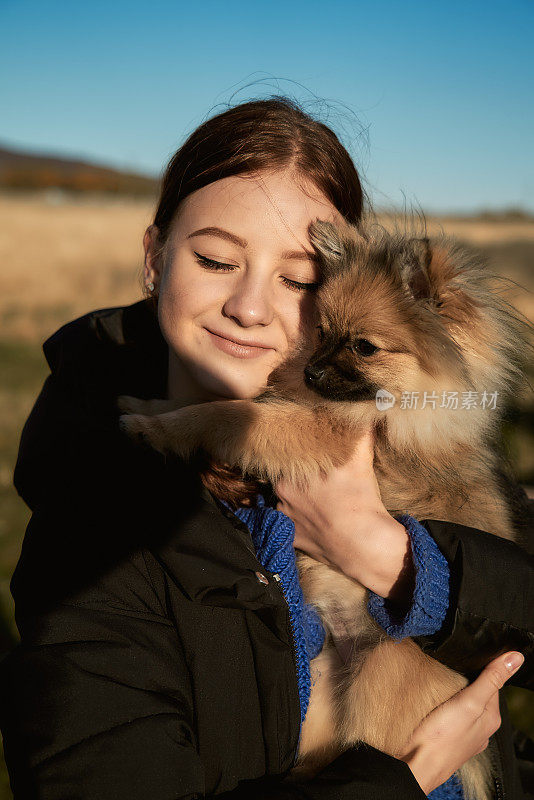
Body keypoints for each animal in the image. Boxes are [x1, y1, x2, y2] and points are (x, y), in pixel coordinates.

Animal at [117, 219, 532, 800]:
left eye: (364, 347)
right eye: (322, 331)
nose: (312, 373)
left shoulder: (317, 430)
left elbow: (225, 413)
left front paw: (155, 429)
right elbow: (211, 401)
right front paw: (148, 406)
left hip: (384, 668)